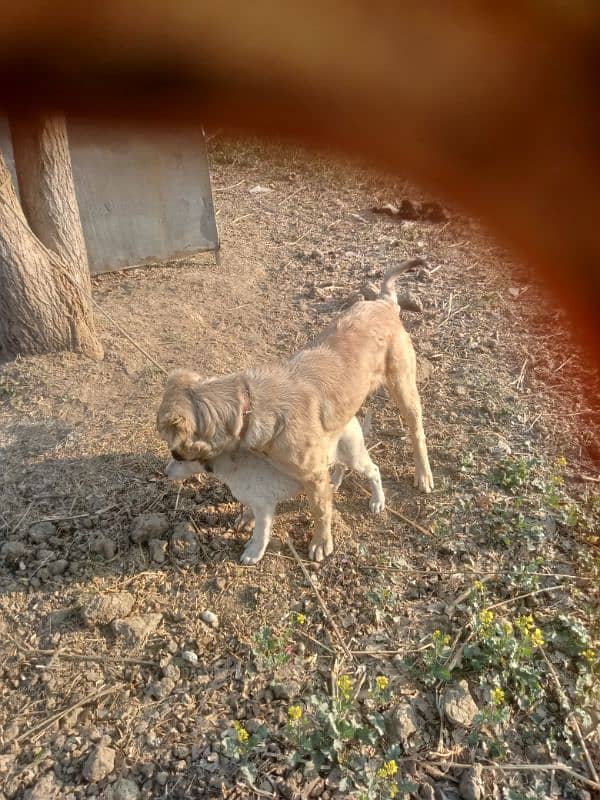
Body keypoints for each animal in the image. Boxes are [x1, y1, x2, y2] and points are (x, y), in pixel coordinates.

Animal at [166, 416, 386, 564]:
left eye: (178, 458)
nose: (165, 472)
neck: (234, 464)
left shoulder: (265, 507)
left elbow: (261, 533)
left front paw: (253, 553)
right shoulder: (253, 500)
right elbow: (248, 510)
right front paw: (245, 520)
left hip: (354, 455)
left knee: (374, 470)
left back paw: (378, 501)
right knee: (340, 466)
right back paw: (335, 481)